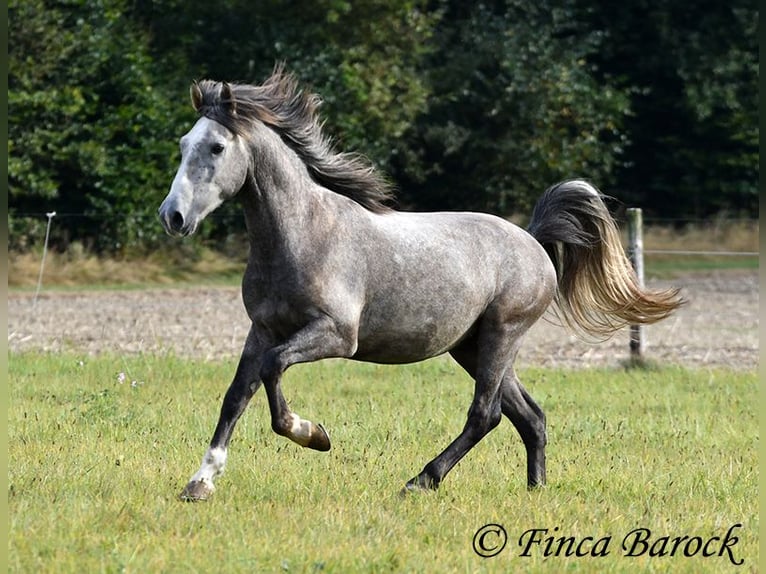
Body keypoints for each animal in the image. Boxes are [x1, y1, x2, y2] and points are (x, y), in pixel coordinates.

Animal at [158, 66, 684, 504]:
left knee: (486, 414)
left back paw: (421, 480)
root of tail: (533, 240)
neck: (304, 233)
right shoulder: (263, 329)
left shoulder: (335, 335)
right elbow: (237, 394)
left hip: (502, 333)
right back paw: (535, 490)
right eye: (182, 144)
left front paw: (313, 434)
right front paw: (200, 483)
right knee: (529, 416)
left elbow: (273, 371)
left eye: (216, 147)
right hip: (472, 346)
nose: (173, 216)